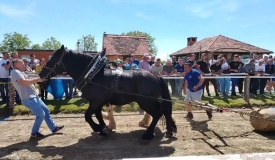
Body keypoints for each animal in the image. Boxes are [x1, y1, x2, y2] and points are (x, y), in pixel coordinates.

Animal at [40, 45, 178, 141]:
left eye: (53, 59)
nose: (41, 74)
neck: (93, 75)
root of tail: (156, 77)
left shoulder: (96, 102)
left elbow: (88, 116)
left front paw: (98, 128)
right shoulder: (98, 102)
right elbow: (98, 116)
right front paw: (103, 129)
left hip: (146, 101)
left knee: (157, 113)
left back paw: (148, 134)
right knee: (163, 112)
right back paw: (168, 130)